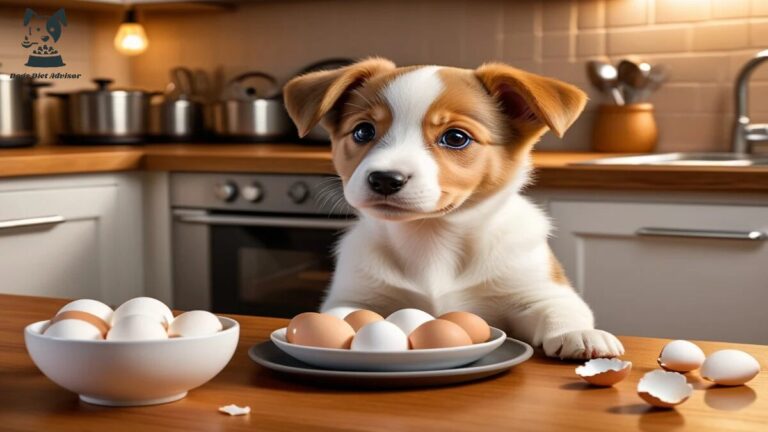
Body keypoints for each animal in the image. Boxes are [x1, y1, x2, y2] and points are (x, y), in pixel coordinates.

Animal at [282, 59, 624, 360]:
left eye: (456, 138)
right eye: (363, 131)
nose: (385, 179)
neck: (432, 239)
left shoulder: (540, 290)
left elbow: (561, 309)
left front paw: (580, 334)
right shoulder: (351, 296)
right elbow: (345, 316)